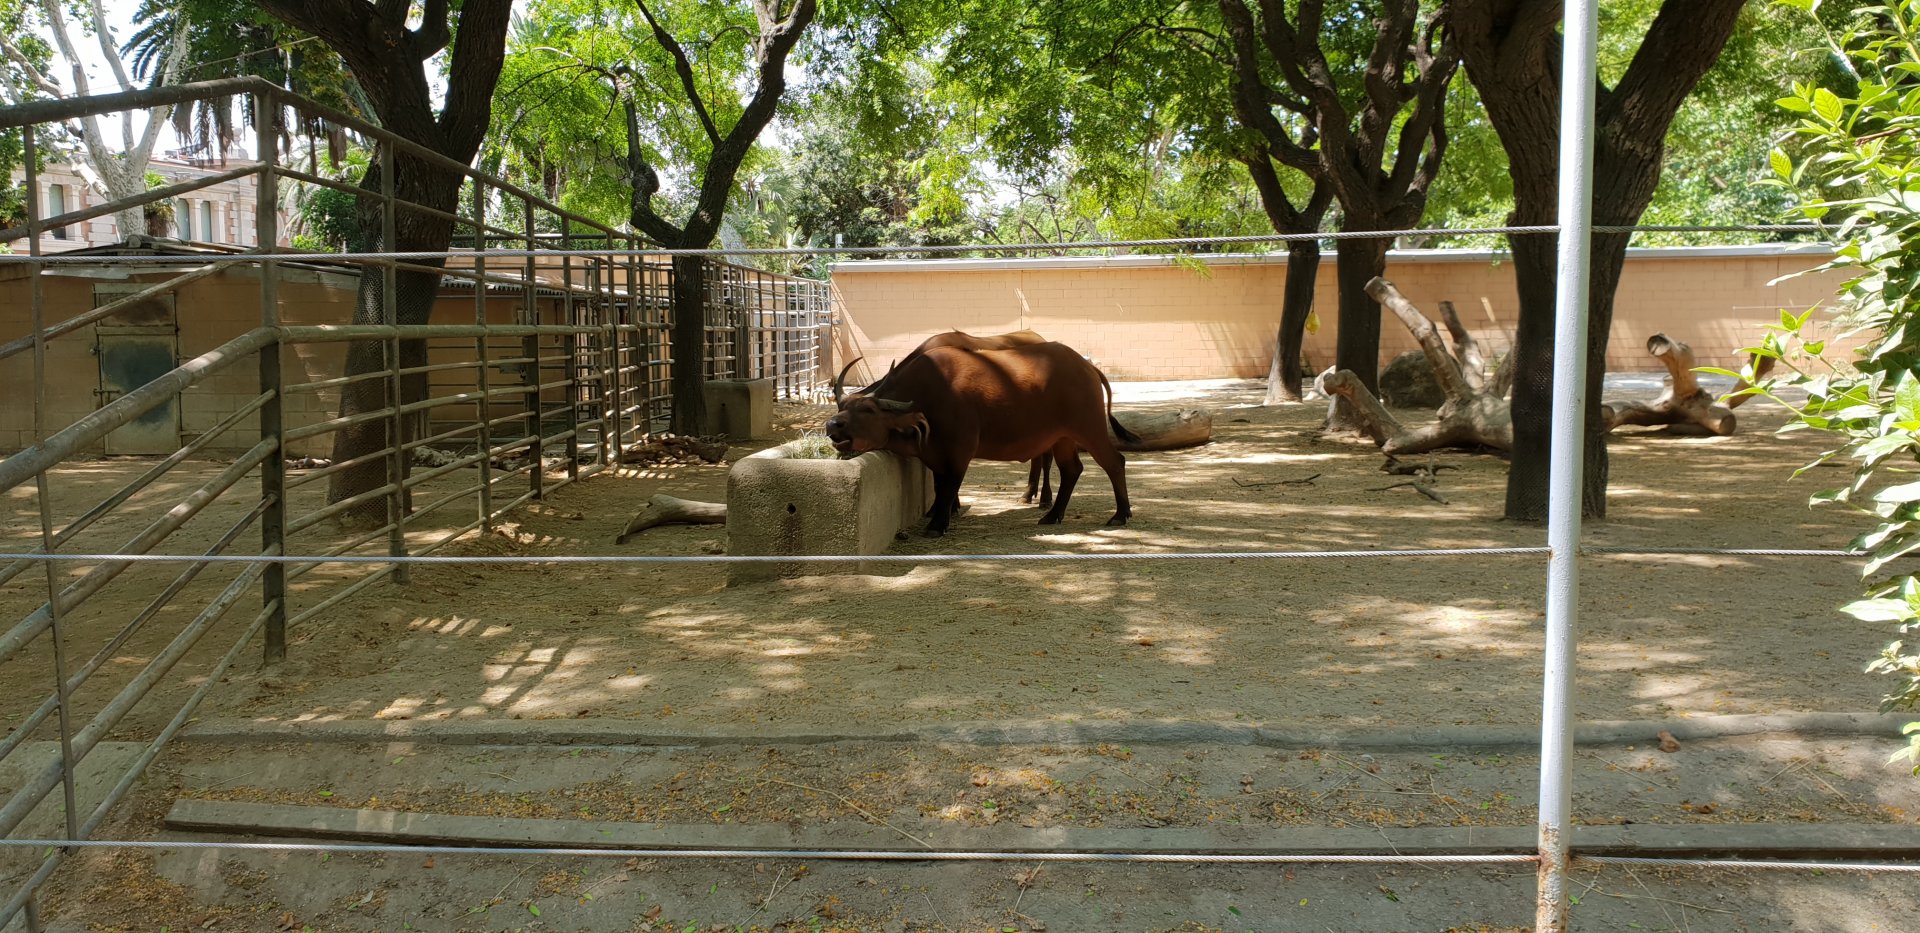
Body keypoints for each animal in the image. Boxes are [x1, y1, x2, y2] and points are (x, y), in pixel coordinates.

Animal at [824, 341, 1136, 536]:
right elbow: (940, 485)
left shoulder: (961, 450)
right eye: (841, 406)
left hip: (1089, 428)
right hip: (1062, 438)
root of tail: (1087, 367)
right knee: (1072, 470)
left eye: (868, 409)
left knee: (1114, 462)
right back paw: (1052, 515)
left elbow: (950, 485)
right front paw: (942, 515)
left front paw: (937, 525)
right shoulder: (935, 454)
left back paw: (1120, 514)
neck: (932, 393)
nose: (832, 424)